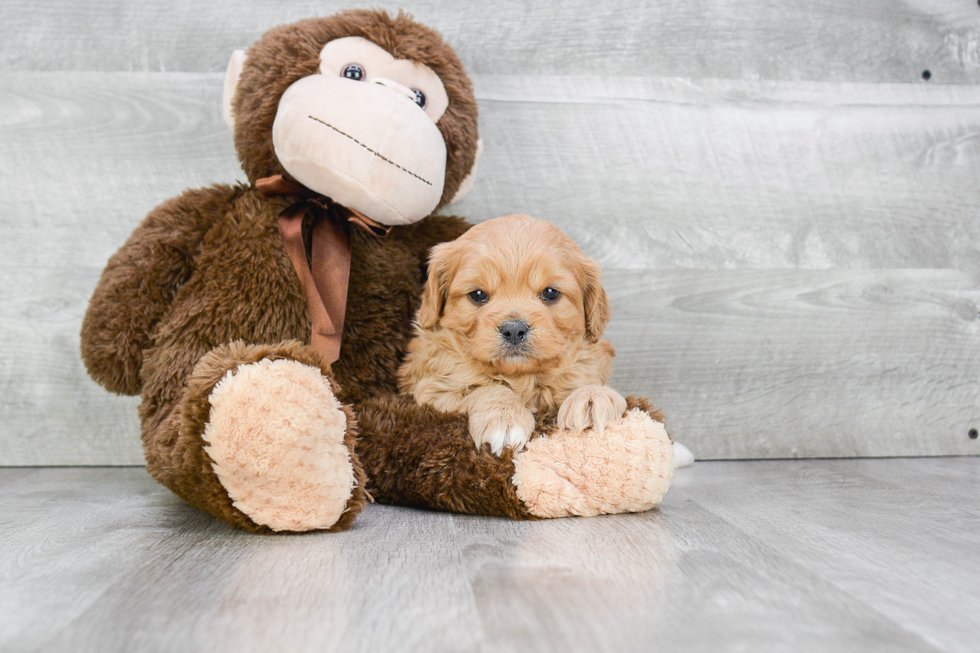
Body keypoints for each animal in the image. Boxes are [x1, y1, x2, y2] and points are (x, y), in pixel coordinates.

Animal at [398, 214, 628, 454]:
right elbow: (485, 388)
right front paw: (504, 417)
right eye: (478, 294)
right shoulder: (432, 390)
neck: (521, 377)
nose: (514, 330)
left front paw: (593, 396)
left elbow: (585, 373)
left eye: (550, 292)